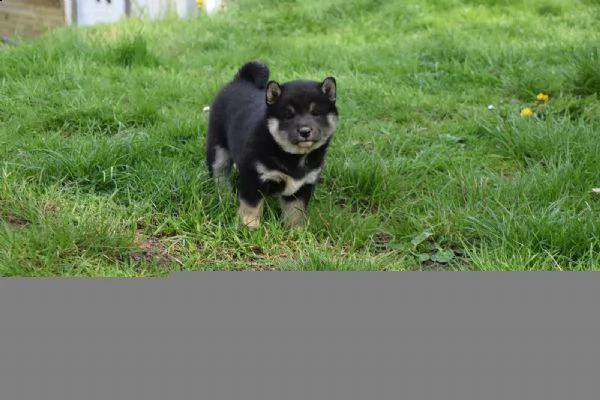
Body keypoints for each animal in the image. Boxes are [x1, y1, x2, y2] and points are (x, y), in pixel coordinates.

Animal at [205, 60, 338, 228]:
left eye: (316, 114)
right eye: (289, 116)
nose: (305, 131)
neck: (294, 155)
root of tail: (240, 79)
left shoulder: (302, 186)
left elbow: (296, 211)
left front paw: (295, 230)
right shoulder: (254, 177)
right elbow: (251, 206)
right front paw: (250, 226)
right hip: (218, 149)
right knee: (219, 175)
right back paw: (225, 196)